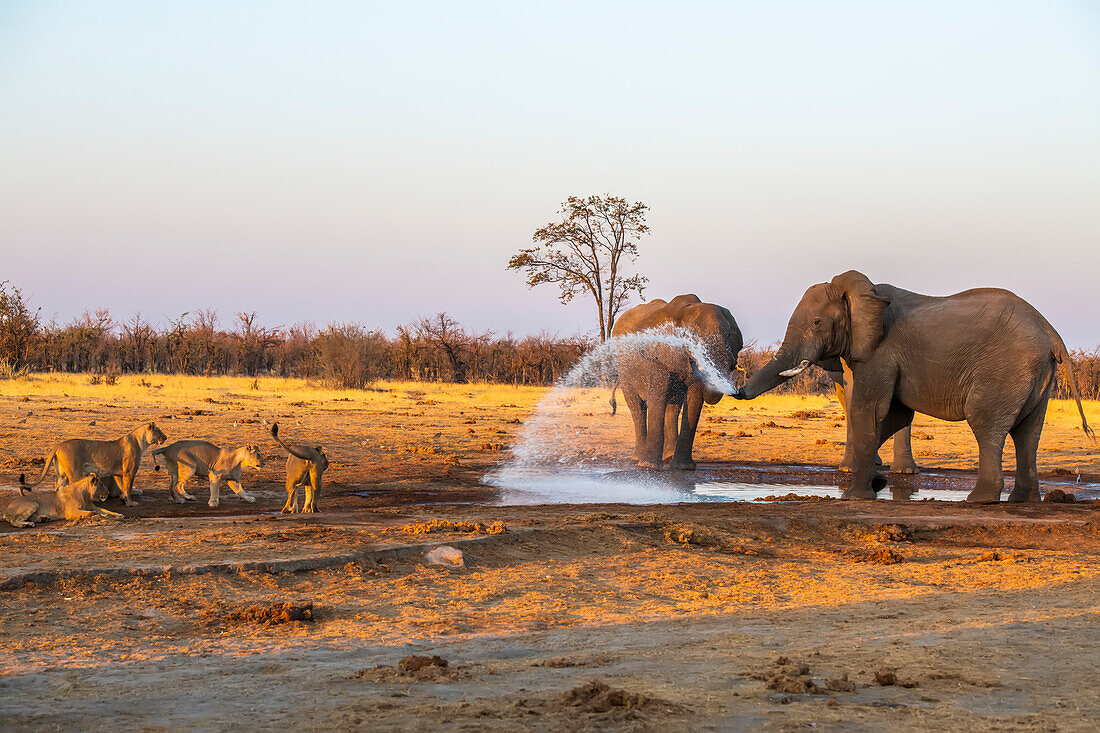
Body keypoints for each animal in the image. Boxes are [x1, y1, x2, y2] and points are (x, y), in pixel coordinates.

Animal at [19, 420, 167, 506]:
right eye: (159, 431)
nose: (165, 437)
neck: (141, 442)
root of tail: (58, 445)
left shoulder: (118, 474)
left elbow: (122, 488)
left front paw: (124, 500)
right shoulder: (129, 472)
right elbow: (128, 488)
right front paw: (131, 503)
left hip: (61, 474)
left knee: (58, 488)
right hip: (75, 473)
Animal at [607, 294, 743, 471]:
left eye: (729, 336)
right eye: (694, 337)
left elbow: (694, 399)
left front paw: (683, 467)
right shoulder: (658, 351)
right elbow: (658, 397)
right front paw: (650, 466)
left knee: (673, 407)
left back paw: (668, 458)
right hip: (624, 369)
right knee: (638, 408)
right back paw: (638, 459)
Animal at [734, 269, 1086, 501]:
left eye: (817, 323)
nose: (736, 389)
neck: (863, 292)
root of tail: (1051, 332)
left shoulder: (880, 352)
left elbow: (869, 411)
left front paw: (854, 497)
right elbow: (893, 416)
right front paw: (876, 483)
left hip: (1004, 371)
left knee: (986, 424)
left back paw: (980, 499)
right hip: (1037, 377)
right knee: (1028, 433)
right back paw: (1021, 500)